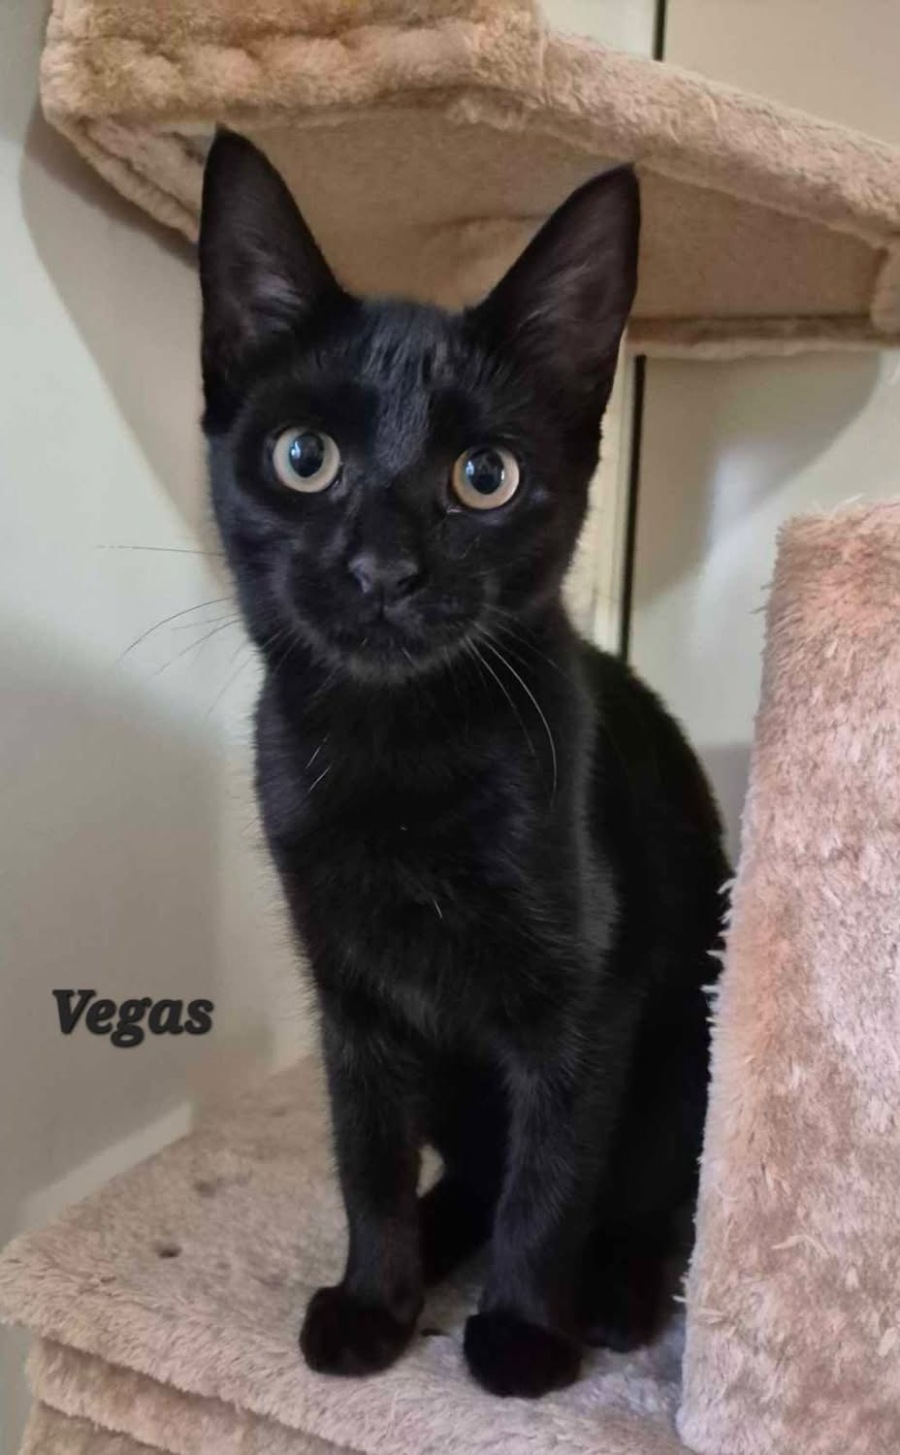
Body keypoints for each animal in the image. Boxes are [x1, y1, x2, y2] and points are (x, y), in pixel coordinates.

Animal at [198, 130, 728, 1399]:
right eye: (303, 457)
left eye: (485, 477)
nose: (383, 569)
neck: (397, 755)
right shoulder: (353, 999)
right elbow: (366, 1159)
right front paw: (375, 1300)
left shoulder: (584, 1003)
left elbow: (555, 1176)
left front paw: (526, 1334)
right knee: (471, 1174)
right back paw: (444, 1239)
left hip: (687, 1049)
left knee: (649, 1193)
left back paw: (614, 1296)